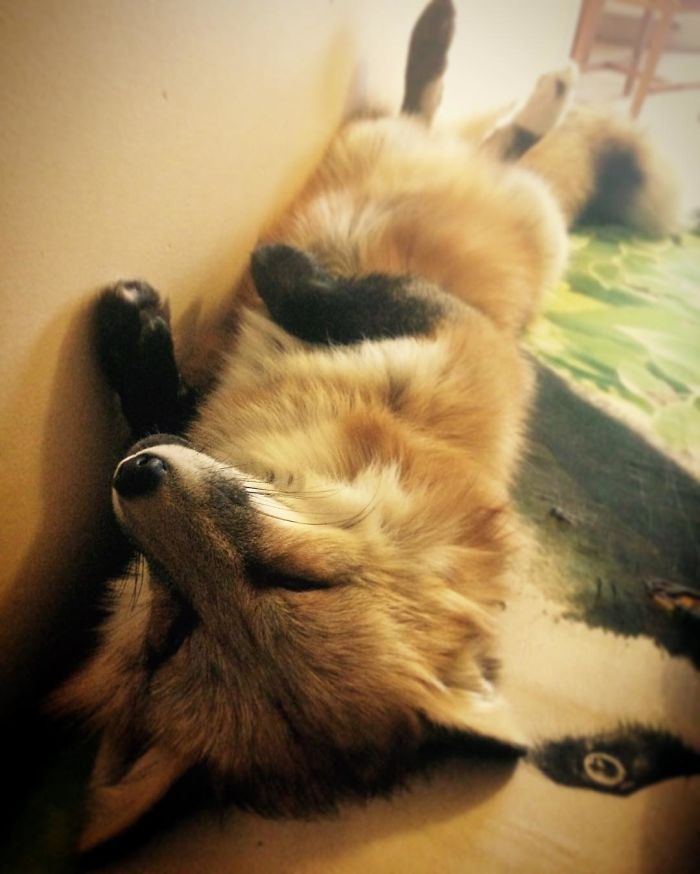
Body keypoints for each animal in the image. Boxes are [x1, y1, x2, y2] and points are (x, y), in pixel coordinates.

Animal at [53, 0, 678, 853]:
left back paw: (520, 84)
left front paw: (245, 275)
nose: (135, 475)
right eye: (175, 630)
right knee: (455, 127)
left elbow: (308, 291)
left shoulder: (468, 338)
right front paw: (139, 337)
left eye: (289, 581)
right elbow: (168, 395)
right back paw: (478, 63)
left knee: (473, 135)